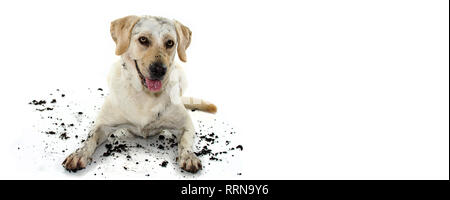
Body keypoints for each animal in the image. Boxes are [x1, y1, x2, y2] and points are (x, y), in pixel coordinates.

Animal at [62, 15, 217, 173]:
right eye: (143, 39)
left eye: (170, 42)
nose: (159, 69)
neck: (145, 95)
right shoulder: (102, 124)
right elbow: (89, 139)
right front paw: (79, 154)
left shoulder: (186, 125)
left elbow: (186, 142)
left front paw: (189, 156)